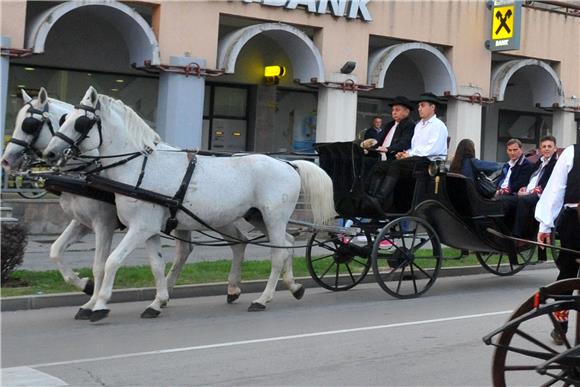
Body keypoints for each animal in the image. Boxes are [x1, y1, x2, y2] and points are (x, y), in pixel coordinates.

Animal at [0, 89, 199, 320]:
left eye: (29, 124)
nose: (6, 161)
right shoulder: (82, 222)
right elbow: (56, 251)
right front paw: (85, 286)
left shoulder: (104, 223)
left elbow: (100, 265)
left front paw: (93, 301)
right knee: (184, 251)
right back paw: (166, 292)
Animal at [45, 87, 338, 322]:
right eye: (64, 118)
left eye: (80, 122)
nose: (50, 152)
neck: (140, 167)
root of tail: (288, 163)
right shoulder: (149, 229)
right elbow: (156, 265)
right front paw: (157, 302)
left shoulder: (137, 227)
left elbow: (111, 261)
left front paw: (100, 305)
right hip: (257, 216)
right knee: (286, 244)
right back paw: (293, 287)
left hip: (273, 217)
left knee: (277, 254)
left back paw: (262, 299)